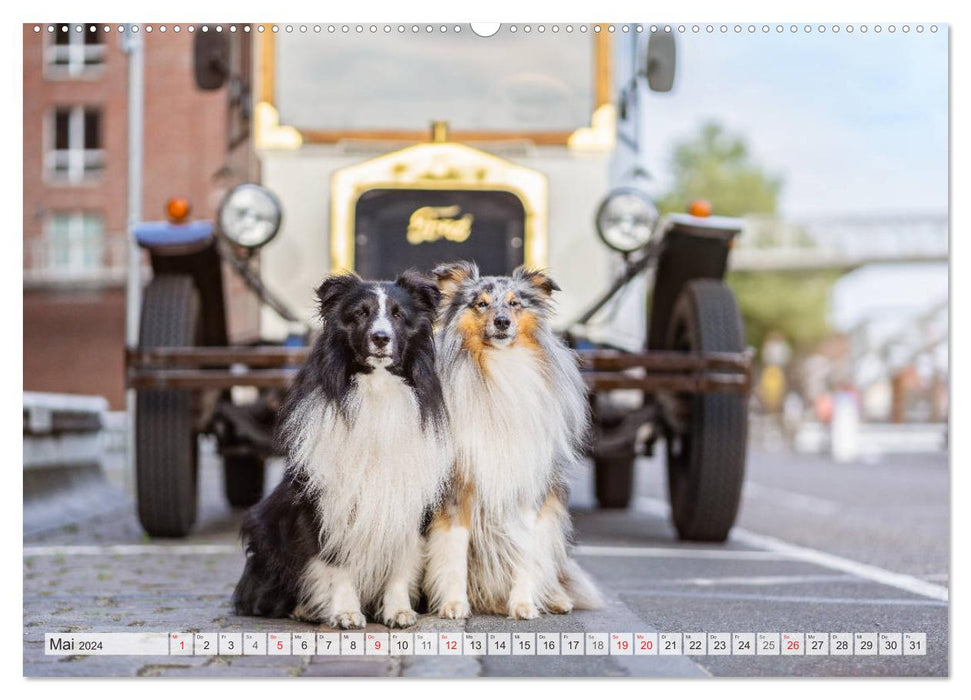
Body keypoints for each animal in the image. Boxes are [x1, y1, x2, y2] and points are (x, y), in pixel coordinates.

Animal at [234, 270, 454, 628]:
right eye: (360, 313)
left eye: (398, 315)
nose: (381, 338)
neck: (377, 389)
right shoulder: (327, 501)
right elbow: (335, 560)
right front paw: (345, 612)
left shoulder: (408, 501)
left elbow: (400, 559)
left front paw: (398, 610)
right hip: (267, 525)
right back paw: (303, 608)